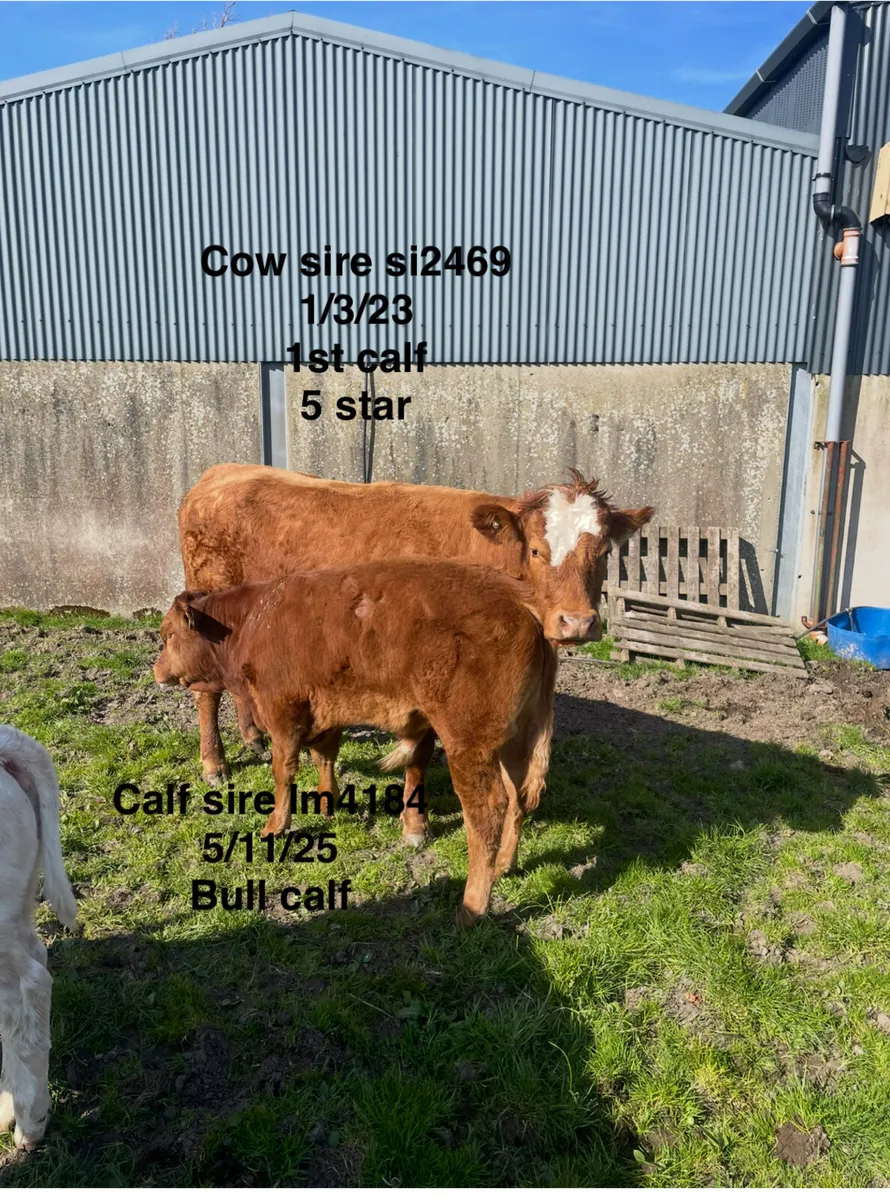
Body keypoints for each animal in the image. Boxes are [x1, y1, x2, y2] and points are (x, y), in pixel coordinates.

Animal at [153, 560, 559, 926]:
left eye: (168, 635)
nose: (157, 671)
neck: (252, 620)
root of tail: (519, 598)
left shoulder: (281, 712)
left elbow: (284, 771)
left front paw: (275, 826)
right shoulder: (323, 713)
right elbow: (324, 756)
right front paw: (326, 803)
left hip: (469, 746)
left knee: (486, 813)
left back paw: (471, 909)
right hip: (511, 742)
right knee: (518, 798)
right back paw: (505, 865)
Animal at [178, 464, 654, 843]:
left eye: (604, 553)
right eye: (536, 550)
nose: (577, 623)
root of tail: (220, 473)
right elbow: (420, 753)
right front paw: (415, 826)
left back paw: (253, 737)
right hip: (207, 610)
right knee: (207, 692)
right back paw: (214, 763)